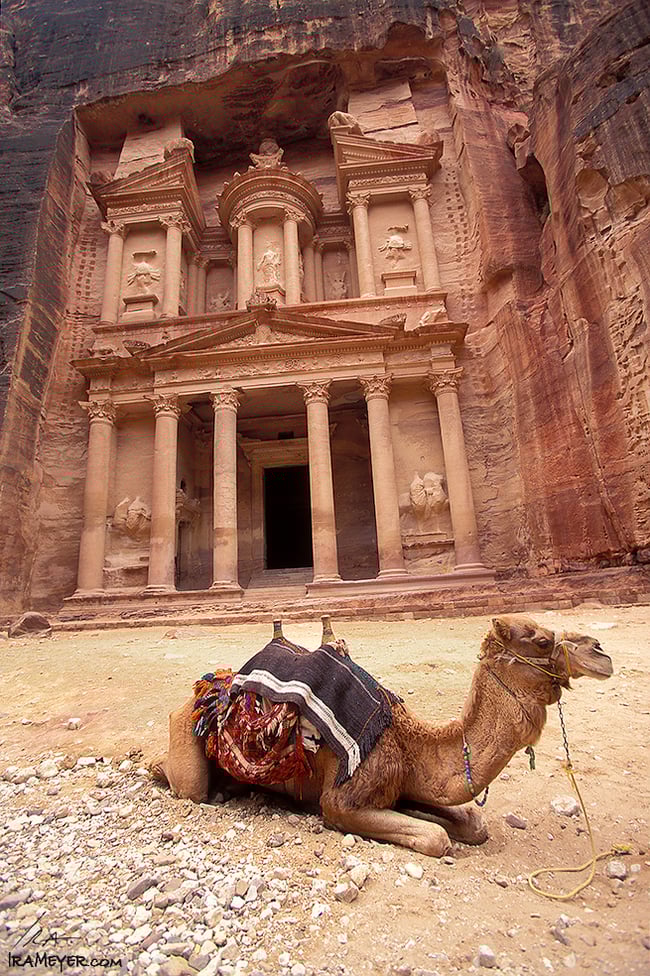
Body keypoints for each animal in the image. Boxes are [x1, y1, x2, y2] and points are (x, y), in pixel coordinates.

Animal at [150, 615, 612, 856]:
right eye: (541, 639)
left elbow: (471, 823)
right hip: (186, 742)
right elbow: (436, 838)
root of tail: (207, 691)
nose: (601, 652)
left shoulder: (405, 783)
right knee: (186, 783)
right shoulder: (341, 802)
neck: (408, 741)